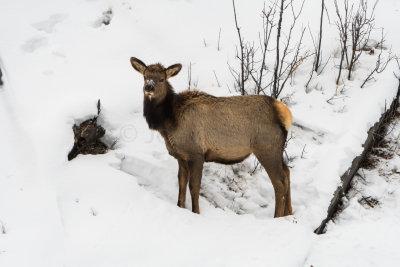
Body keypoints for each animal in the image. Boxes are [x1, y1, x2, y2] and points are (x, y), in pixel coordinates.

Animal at [130, 56, 292, 218]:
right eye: (145, 76)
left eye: (162, 79)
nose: (149, 87)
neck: (169, 122)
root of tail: (285, 113)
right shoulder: (181, 156)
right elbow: (181, 184)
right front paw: (181, 207)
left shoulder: (196, 154)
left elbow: (194, 187)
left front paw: (196, 212)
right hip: (277, 149)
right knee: (287, 172)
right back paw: (288, 213)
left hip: (266, 147)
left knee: (280, 182)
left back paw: (277, 216)